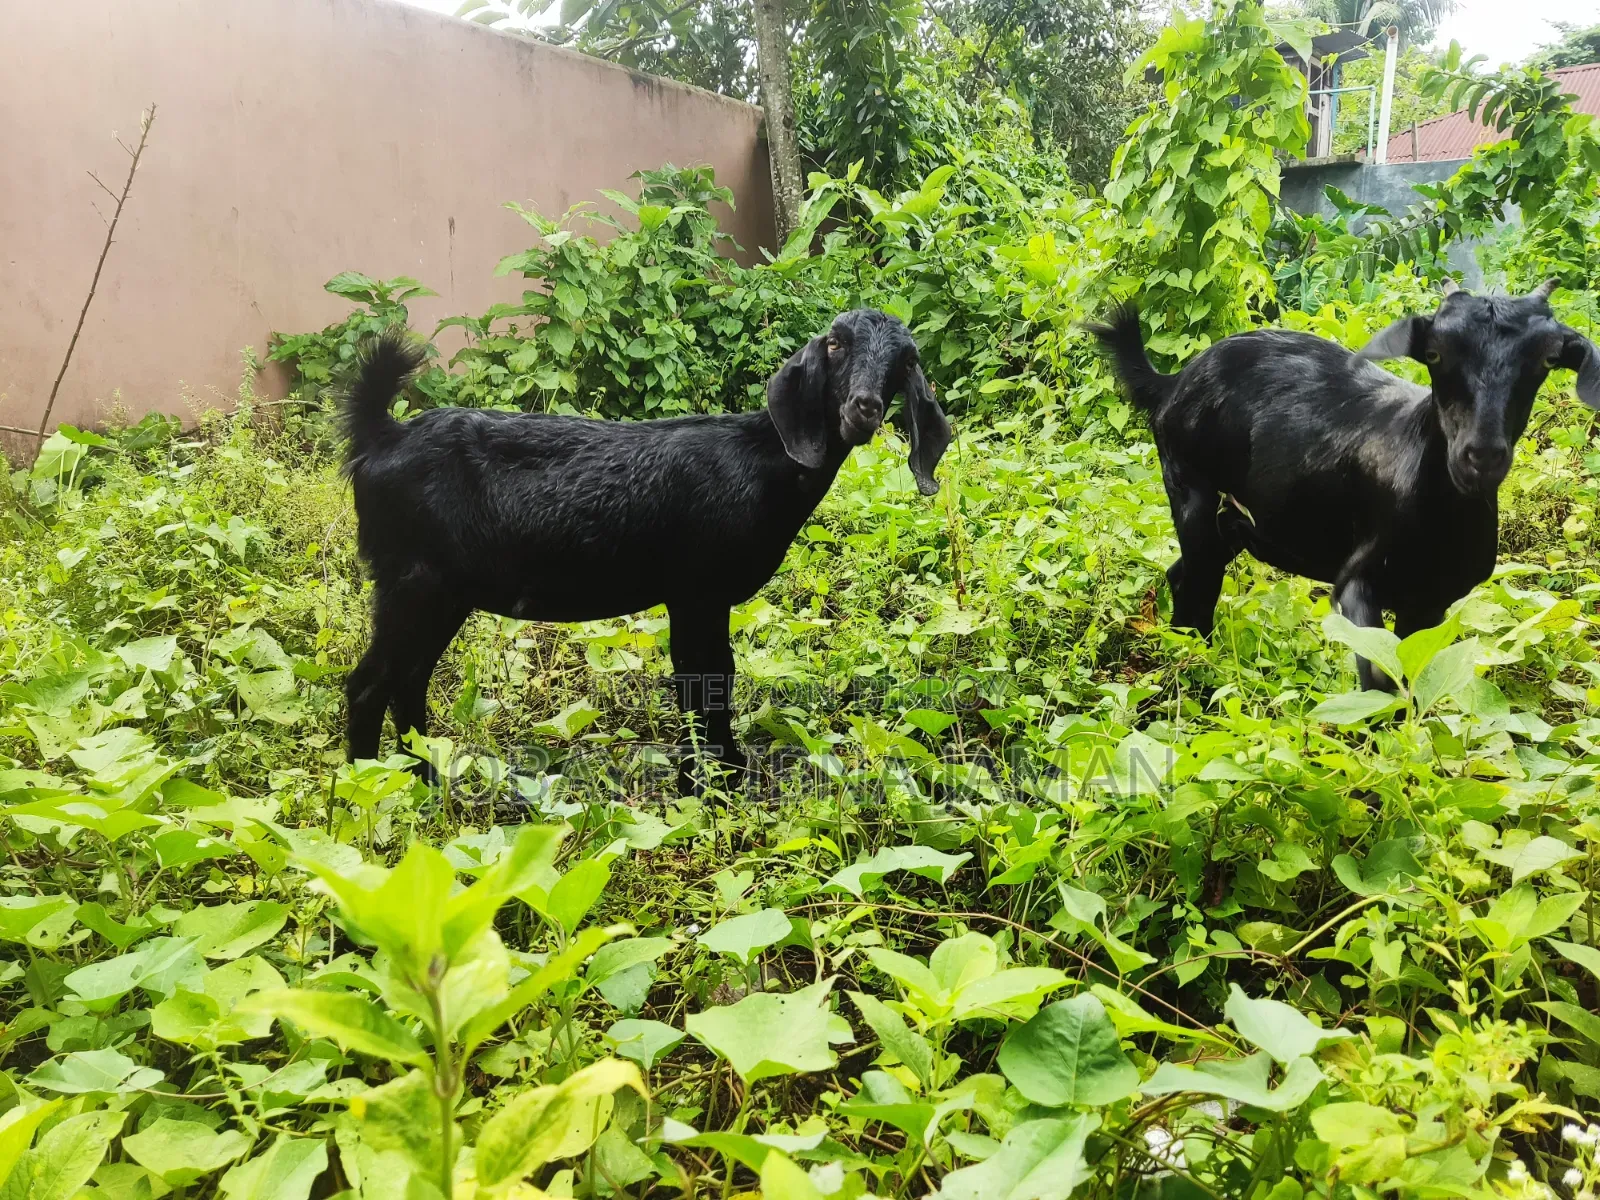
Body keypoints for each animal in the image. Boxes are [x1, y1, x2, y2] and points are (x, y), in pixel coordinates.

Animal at [341, 309, 951, 791]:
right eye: (835, 344)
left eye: (905, 361)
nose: (863, 408)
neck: (763, 462)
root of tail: (380, 437)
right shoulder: (696, 591)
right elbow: (704, 682)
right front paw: (708, 785)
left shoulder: (700, 600)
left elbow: (709, 679)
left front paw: (716, 775)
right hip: (412, 581)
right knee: (370, 684)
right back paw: (368, 791)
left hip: (442, 592)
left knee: (409, 679)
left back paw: (425, 778)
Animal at [1089, 279, 1600, 691]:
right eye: (1435, 354)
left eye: (1547, 359)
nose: (1481, 455)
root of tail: (1174, 380)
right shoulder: (1358, 578)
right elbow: (1380, 676)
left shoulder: (1432, 600)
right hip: (1189, 486)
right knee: (1197, 575)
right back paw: (1185, 666)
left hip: (1237, 519)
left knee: (1189, 571)